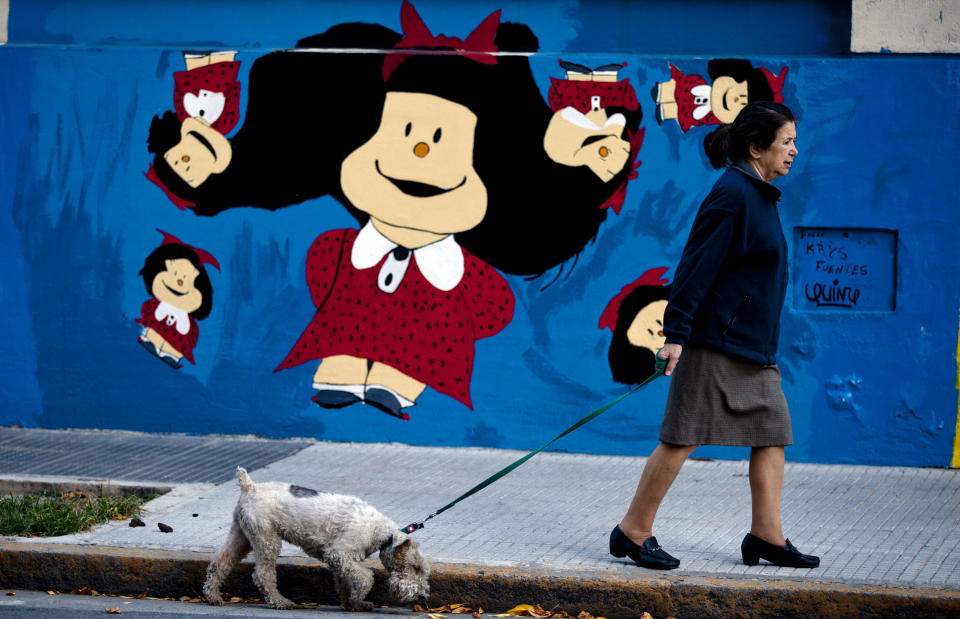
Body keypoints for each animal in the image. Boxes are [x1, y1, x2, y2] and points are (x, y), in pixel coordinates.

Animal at [203, 470, 432, 612]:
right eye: (415, 568)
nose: (422, 596)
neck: (380, 532)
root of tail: (249, 486)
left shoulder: (338, 560)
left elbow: (344, 581)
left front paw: (353, 604)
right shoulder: (339, 553)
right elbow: (365, 578)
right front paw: (358, 599)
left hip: (241, 535)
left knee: (219, 564)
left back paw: (213, 597)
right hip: (267, 539)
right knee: (262, 575)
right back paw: (281, 602)